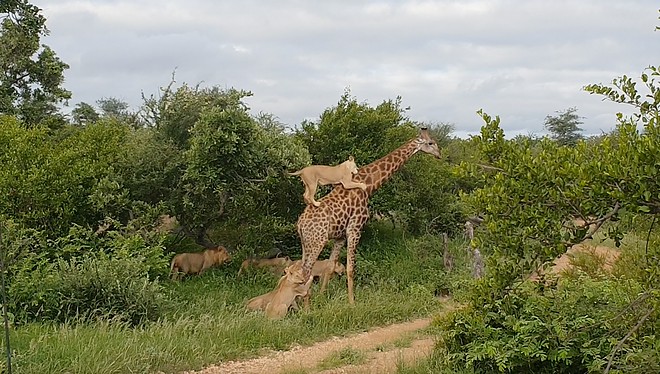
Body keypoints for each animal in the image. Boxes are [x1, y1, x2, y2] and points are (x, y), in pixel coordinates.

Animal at [292, 128, 438, 304]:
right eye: (431, 143)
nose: (439, 155)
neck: (369, 186)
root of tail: (300, 224)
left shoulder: (340, 236)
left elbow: (330, 265)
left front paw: (322, 296)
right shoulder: (355, 228)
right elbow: (350, 267)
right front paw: (352, 303)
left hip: (305, 242)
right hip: (317, 241)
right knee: (306, 272)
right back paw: (304, 305)